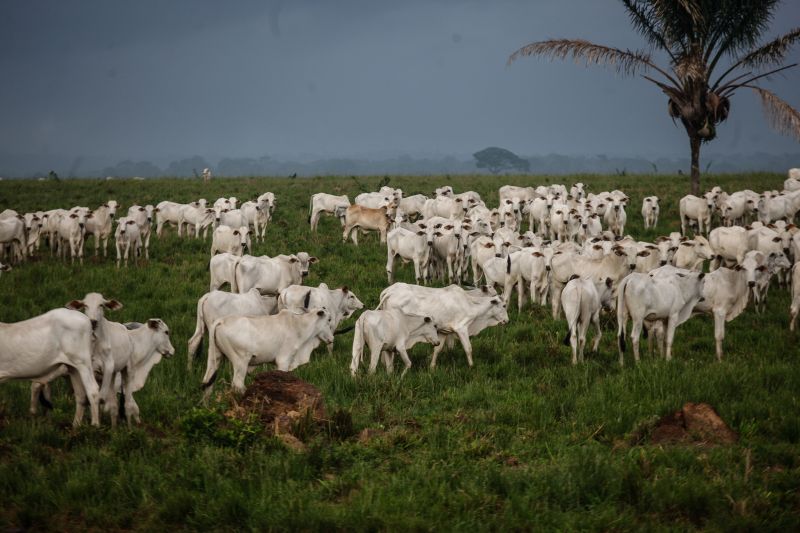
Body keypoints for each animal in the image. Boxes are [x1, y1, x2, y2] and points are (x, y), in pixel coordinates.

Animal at [378, 284, 510, 368]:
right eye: (503, 305)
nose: (507, 321)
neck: (470, 304)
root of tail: (389, 291)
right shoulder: (462, 329)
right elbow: (468, 348)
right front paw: (472, 366)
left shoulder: (444, 331)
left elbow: (438, 349)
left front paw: (432, 367)